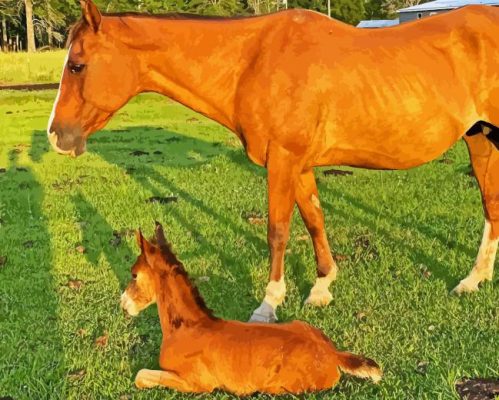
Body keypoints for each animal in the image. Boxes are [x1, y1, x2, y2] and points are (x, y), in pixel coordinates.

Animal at [49, 0, 499, 324]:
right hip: (480, 138)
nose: (56, 136)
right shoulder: (298, 164)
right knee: (491, 206)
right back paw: (474, 280)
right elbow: (314, 218)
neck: (252, 60)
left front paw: (269, 304)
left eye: (77, 65)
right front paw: (322, 287)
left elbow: (278, 231)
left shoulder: (282, 160)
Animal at [121, 223, 382, 396]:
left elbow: (141, 376)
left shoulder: (196, 383)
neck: (188, 328)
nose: (123, 304)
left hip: (280, 387)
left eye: (134, 274)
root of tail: (333, 353)